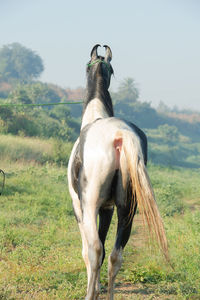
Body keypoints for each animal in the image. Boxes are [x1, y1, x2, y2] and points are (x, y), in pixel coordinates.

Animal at [67, 44, 169, 300]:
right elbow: (106, 249)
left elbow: (89, 250)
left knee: (94, 249)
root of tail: (121, 135)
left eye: (86, 65)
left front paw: (93, 289)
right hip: (127, 209)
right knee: (115, 255)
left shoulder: (80, 207)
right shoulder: (109, 208)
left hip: (90, 205)